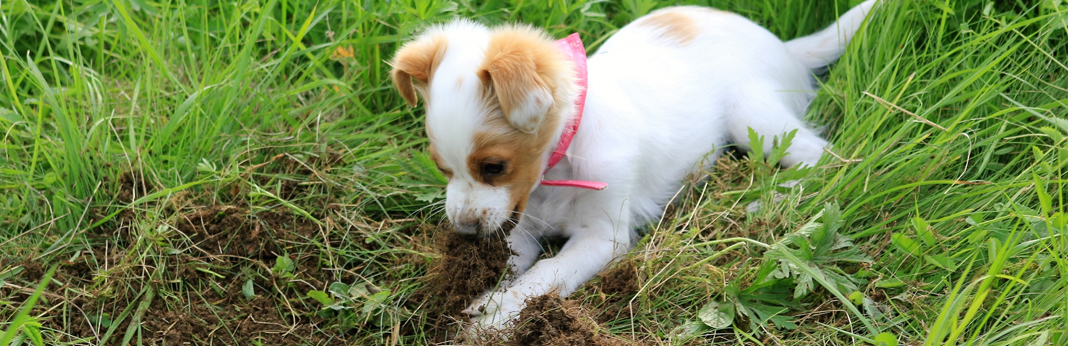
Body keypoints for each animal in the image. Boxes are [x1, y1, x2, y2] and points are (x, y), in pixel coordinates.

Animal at [393, 0, 875, 328]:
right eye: (441, 167)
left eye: (494, 166)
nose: (463, 232)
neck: (557, 171)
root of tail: (784, 47)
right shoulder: (521, 223)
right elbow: (515, 262)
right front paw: (484, 293)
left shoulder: (603, 239)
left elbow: (546, 273)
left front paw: (495, 318)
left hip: (754, 117)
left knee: (820, 158)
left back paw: (764, 201)